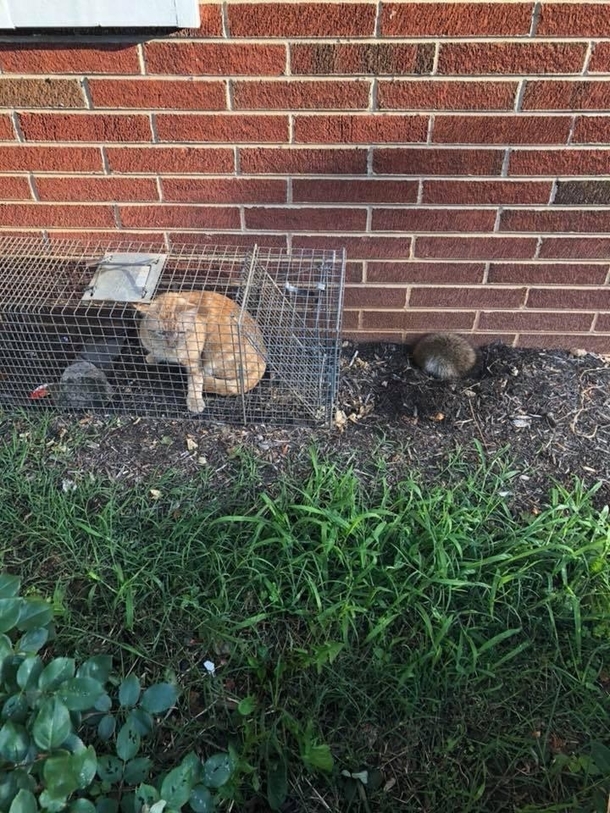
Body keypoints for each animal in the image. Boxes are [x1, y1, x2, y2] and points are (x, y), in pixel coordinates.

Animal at [135, 290, 266, 412]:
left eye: (181, 332)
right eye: (161, 333)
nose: (172, 344)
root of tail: (263, 360)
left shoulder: (195, 361)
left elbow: (196, 381)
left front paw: (195, 401)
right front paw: (154, 356)